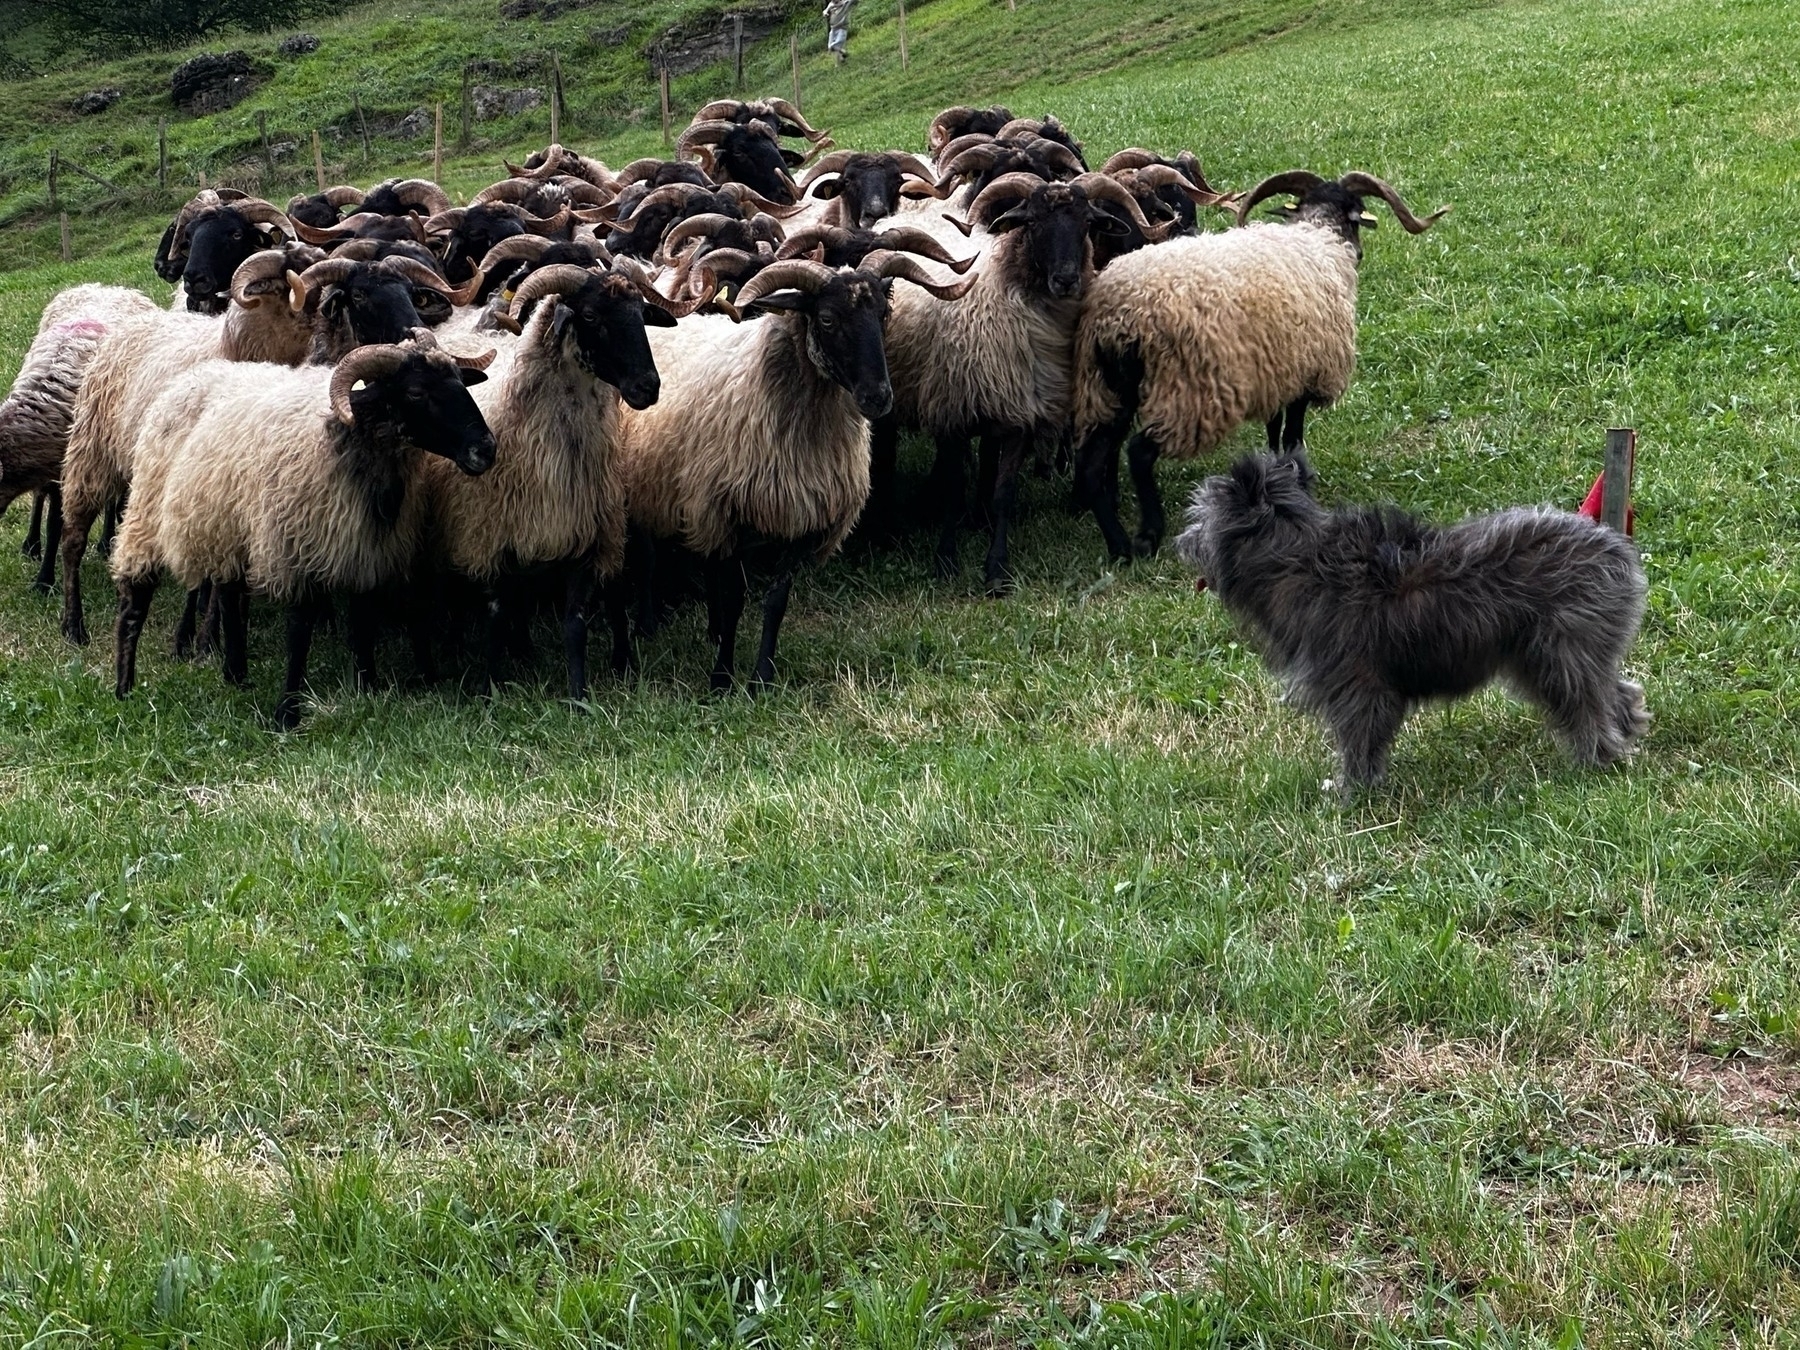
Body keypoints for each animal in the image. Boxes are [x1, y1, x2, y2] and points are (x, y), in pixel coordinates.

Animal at [1173, 455, 1648, 788]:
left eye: (1199, 516)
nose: (1182, 543)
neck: (1295, 559)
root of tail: (1610, 542)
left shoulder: (1359, 688)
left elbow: (1360, 739)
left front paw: (1354, 792)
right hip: (1555, 658)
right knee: (1617, 694)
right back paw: (1626, 734)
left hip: (1559, 654)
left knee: (1588, 706)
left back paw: (1597, 759)